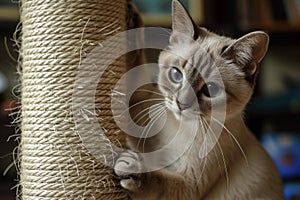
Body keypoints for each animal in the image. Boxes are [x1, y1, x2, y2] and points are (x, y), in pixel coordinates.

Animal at [115, 0, 284, 199]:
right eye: (176, 75)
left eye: (210, 90)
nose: (180, 104)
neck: (180, 127)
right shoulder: (142, 121)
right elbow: (134, 70)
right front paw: (130, 17)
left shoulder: (189, 185)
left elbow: (158, 181)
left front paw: (131, 168)